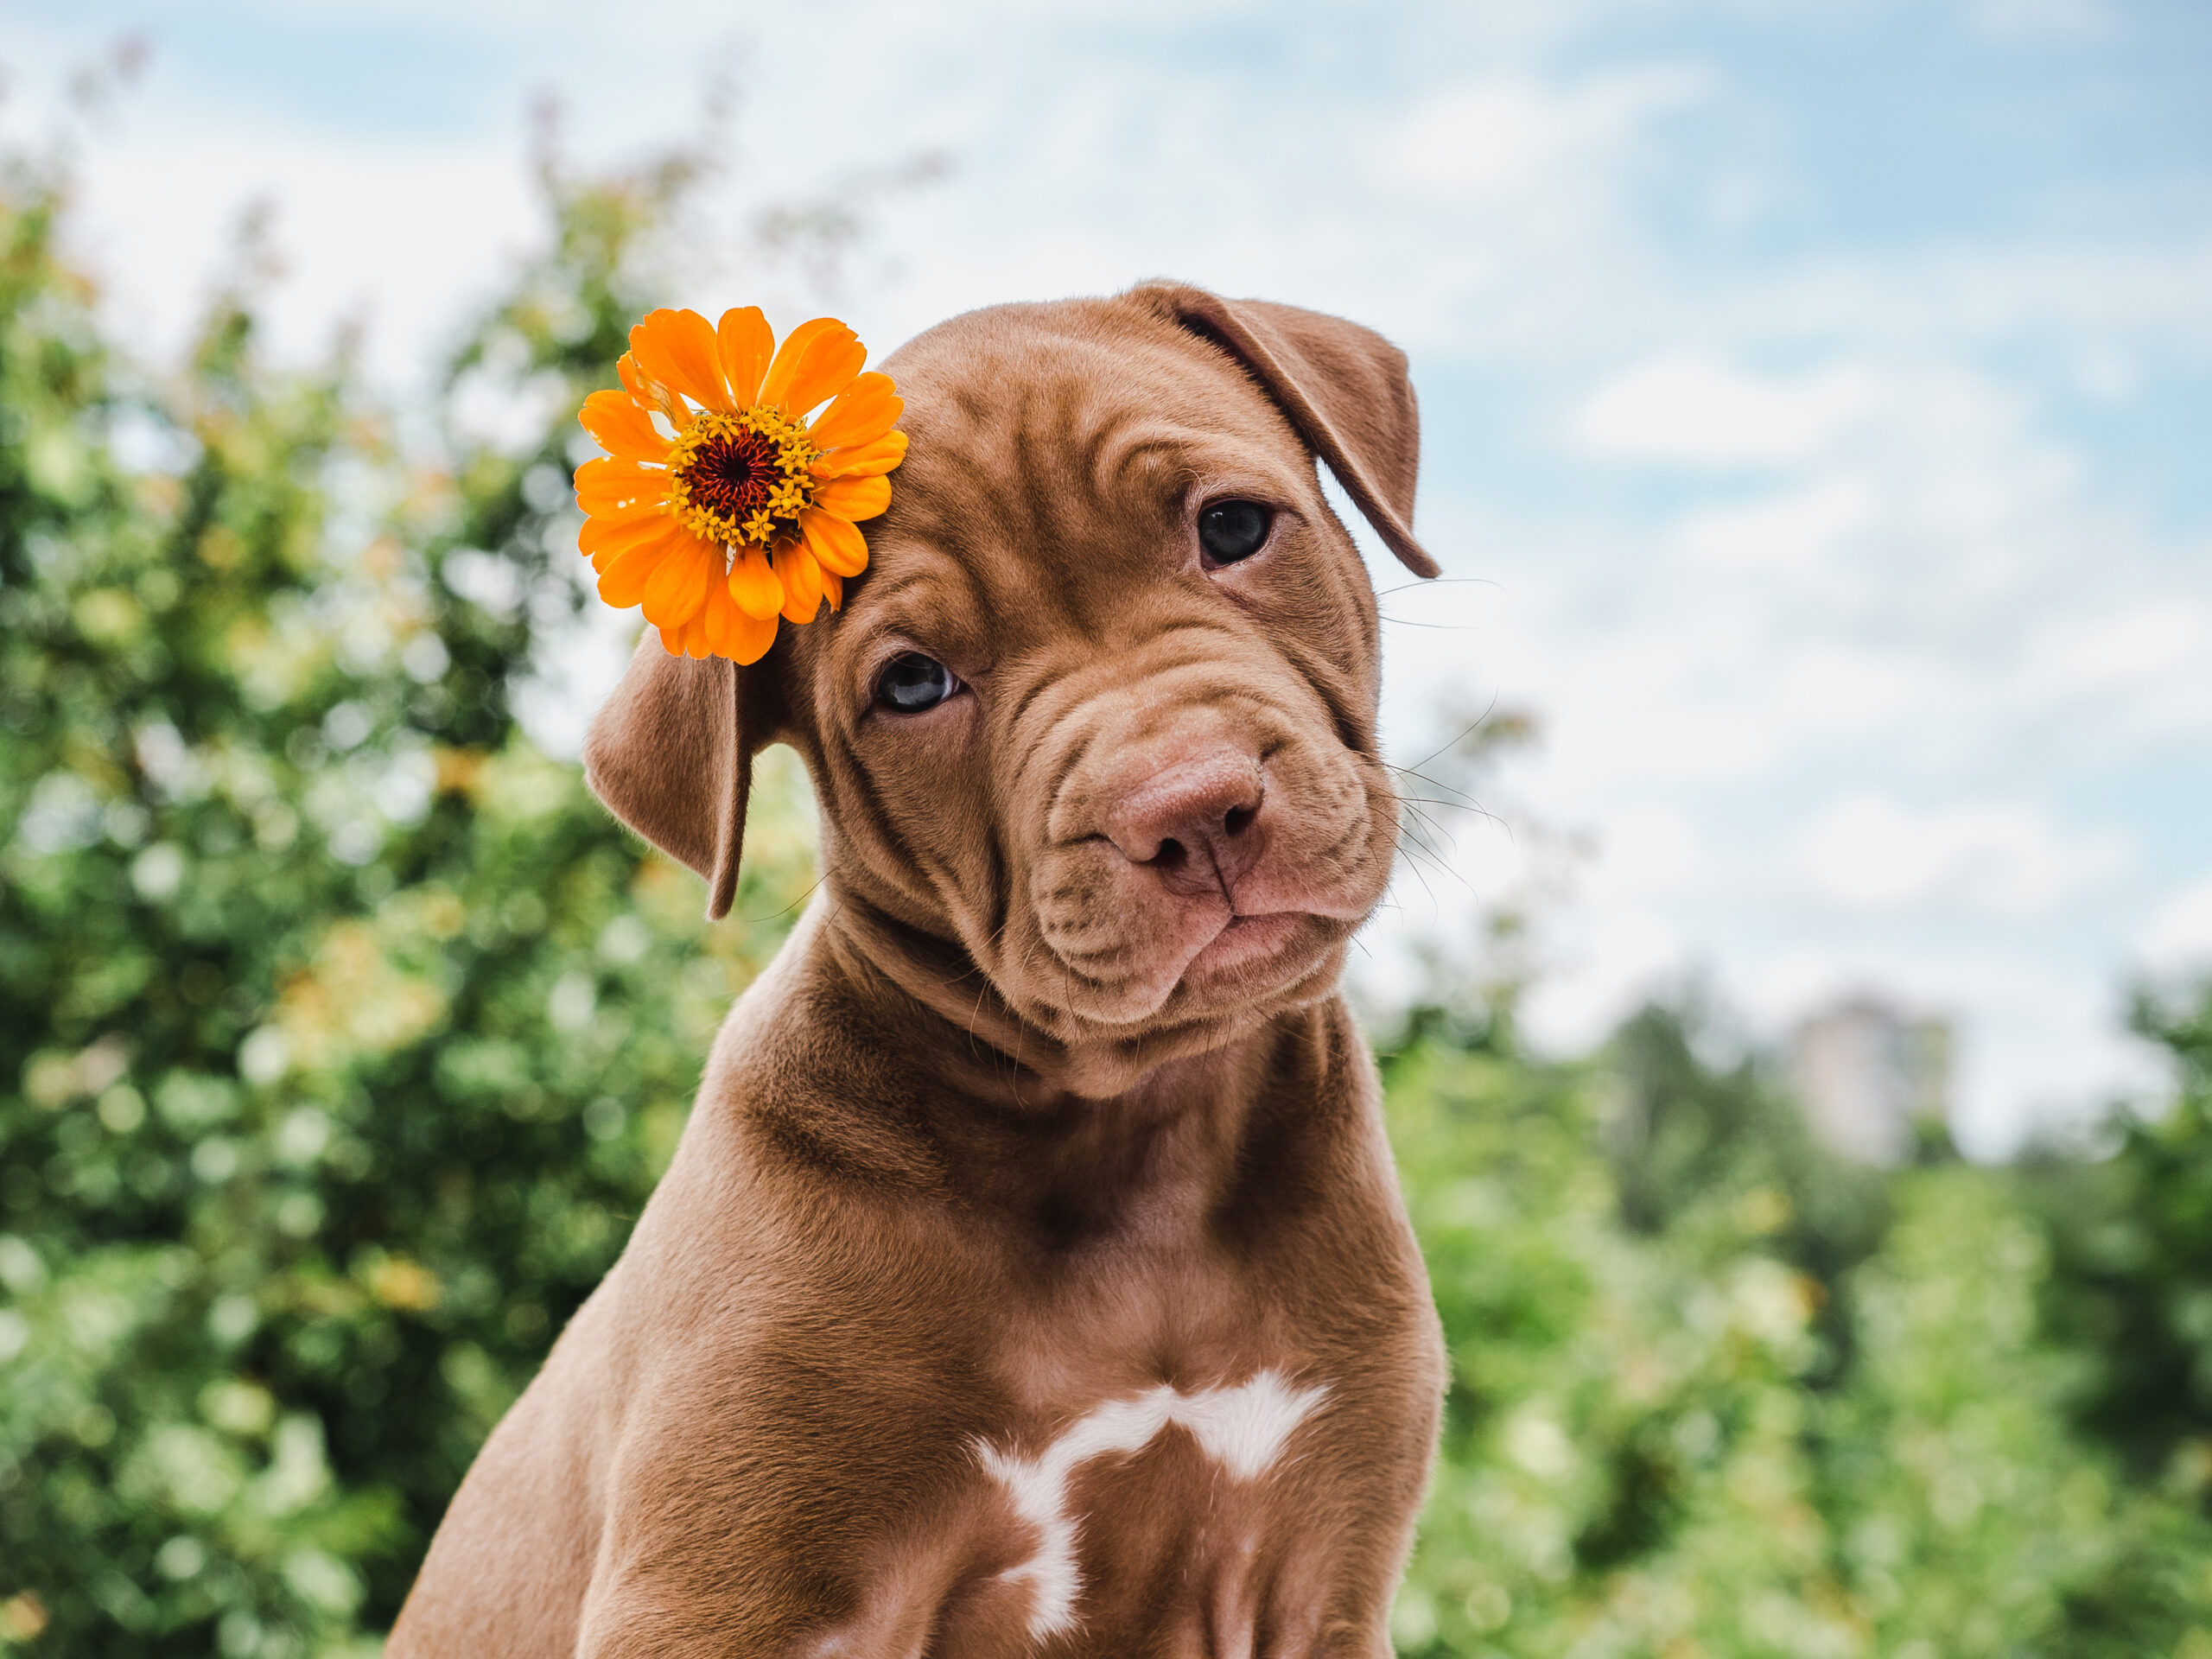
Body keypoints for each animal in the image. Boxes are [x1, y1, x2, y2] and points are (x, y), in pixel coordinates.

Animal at [393, 285, 1451, 1659]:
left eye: (1231, 527)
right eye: (912, 683)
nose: (1190, 806)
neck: (1131, 1136)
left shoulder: (1315, 1581)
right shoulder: (722, 1597)